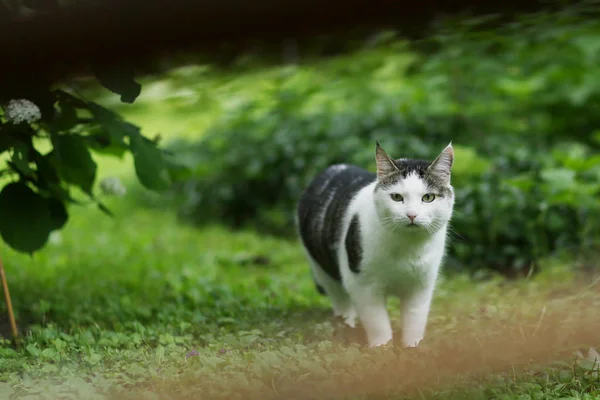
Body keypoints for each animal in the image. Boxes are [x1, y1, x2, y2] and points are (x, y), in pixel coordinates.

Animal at [296, 142, 454, 348]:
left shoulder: (421, 287)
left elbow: (414, 323)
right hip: (322, 269)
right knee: (341, 301)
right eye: (396, 197)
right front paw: (382, 349)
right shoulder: (362, 285)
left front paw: (412, 349)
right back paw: (346, 327)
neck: (407, 248)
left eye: (428, 198)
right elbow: (378, 324)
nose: (411, 214)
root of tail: (332, 168)